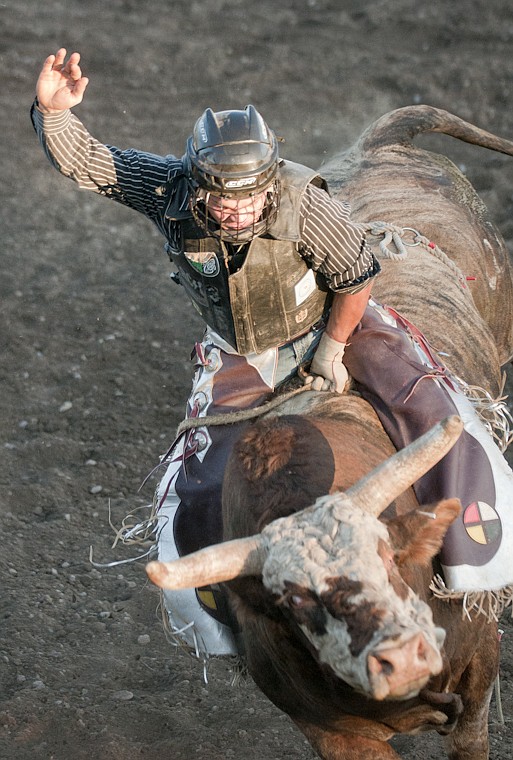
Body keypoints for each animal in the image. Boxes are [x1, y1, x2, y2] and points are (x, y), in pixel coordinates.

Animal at [146, 108, 512, 760]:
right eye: (295, 601)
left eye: (388, 553)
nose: (400, 657)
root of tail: (382, 143)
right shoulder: (328, 728)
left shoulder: (477, 669)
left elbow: (472, 733)